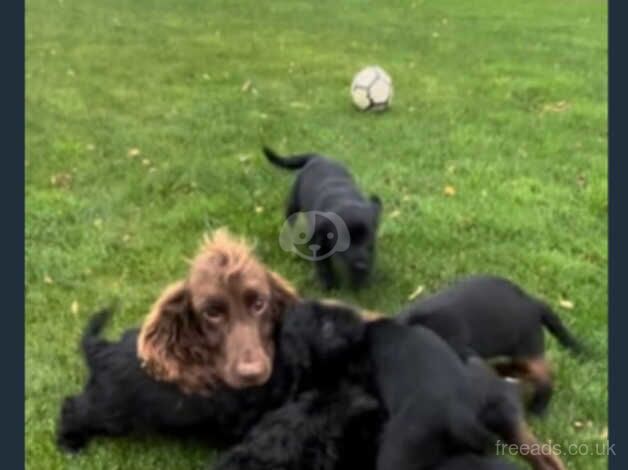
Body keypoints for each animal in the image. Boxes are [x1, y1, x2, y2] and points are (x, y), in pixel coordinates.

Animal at [262, 147, 380, 288]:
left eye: (369, 241)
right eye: (345, 243)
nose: (361, 266)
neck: (344, 200)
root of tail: (318, 157)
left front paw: (359, 283)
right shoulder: (320, 244)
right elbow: (323, 266)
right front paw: (328, 285)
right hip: (293, 204)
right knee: (290, 221)